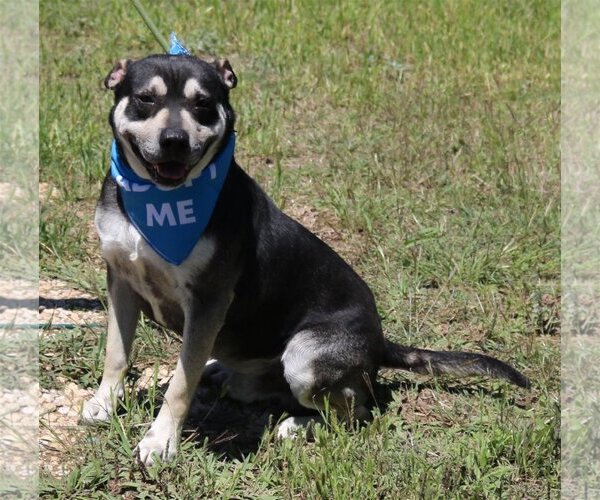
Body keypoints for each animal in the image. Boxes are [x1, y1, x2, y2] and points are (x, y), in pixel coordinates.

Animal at [81, 53, 528, 464]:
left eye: (203, 103)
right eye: (145, 98)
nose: (173, 139)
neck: (157, 206)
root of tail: (379, 342)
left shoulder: (208, 300)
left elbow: (179, 383)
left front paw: (161, 441)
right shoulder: (121, 280)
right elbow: (116, 354)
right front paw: (105, 404)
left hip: (305, 357)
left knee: (358, 410)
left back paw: (298, 425)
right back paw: (228, 373)